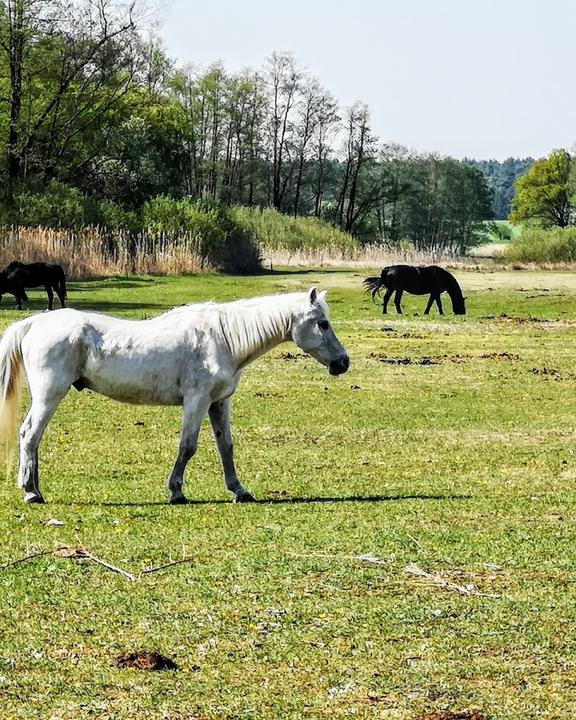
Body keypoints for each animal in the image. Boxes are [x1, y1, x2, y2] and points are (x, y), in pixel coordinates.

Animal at [0, 288, 348, 506]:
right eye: (322, 323)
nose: (343, 363)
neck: (223, 338)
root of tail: (34, 323)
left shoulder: (219, 402)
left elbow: (226, 447)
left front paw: (239, 491)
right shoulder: (197, 400)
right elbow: (188, 446)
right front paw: (176, 492)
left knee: (33, 438)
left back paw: (34, 487)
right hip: (49, 395)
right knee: (29, 434)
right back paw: (31, 492)